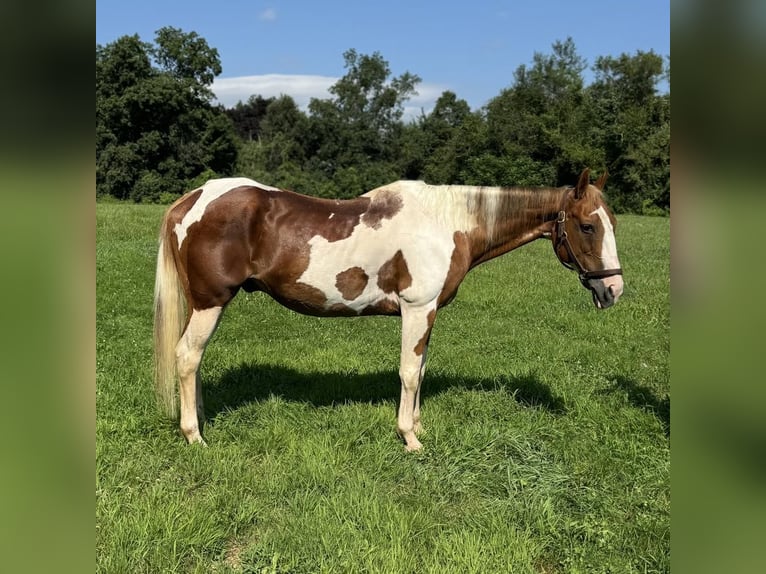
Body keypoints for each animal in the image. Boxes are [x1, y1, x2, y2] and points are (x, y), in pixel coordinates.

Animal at [154, 169, 624, 452]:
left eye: (612, 223)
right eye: (587, 225)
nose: (614, 289)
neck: (447, 223)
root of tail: (191, 200)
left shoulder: (429, 313)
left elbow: (422, 371)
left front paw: (419, 426)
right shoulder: (417, 310)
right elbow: (410, 372)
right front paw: (409, 438)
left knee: (193, 360)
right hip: (211, 302)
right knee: (187, 357)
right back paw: (194, 436)